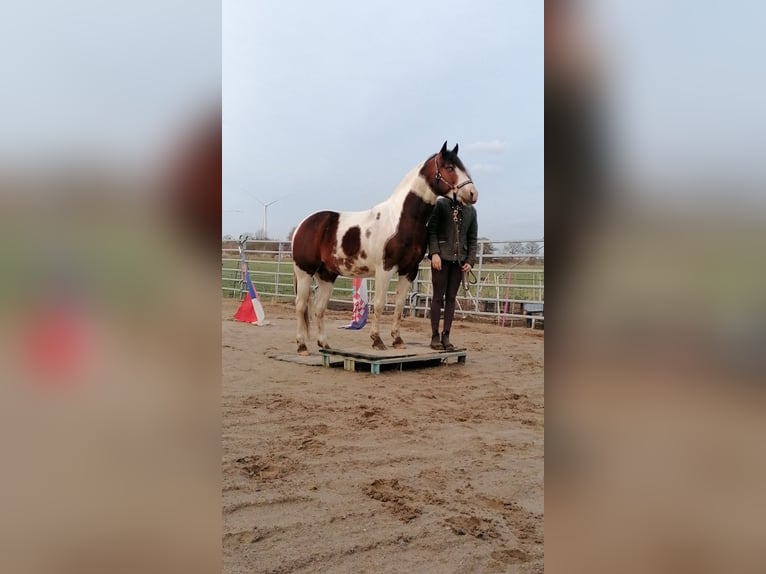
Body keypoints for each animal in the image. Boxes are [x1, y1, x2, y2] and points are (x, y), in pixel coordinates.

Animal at [291, 142, 478, 355]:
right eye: (449, 167)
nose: (472, 194)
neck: (401, 220)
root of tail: (302, 225)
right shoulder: (385, 269)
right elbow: (380, 304)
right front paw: (377, 340)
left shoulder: (409, 271)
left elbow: (399, 305)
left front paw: (397, 340)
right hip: (305, 272)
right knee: (300, 306)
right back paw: (302, 346)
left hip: (326, 275)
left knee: (319, 308)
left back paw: (324, 344)